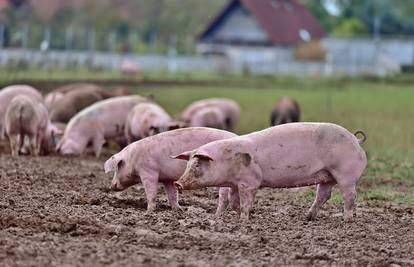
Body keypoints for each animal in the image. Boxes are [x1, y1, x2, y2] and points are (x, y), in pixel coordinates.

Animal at [103, 127, 236, 211]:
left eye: (117, 168)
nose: (111, 186)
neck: (133, 158)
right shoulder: (167, 179)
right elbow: (172, 194)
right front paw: (178, 210)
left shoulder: (148, 172)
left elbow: (151, 192)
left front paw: (149, 211)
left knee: (223, 196)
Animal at [173, 123, 368, 222]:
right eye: (188, 164)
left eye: (198, 164)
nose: (178, 183)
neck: (226, 159)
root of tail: (355, 139)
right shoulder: (235, 184)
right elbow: (234, 201)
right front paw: (241, 217)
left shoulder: (250, 181)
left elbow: (245, 201)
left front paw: (244, 220)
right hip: (326, 176)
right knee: (324, 195)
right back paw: (307, 218)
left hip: (345, 174)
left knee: (350, 195)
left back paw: (347, 220)